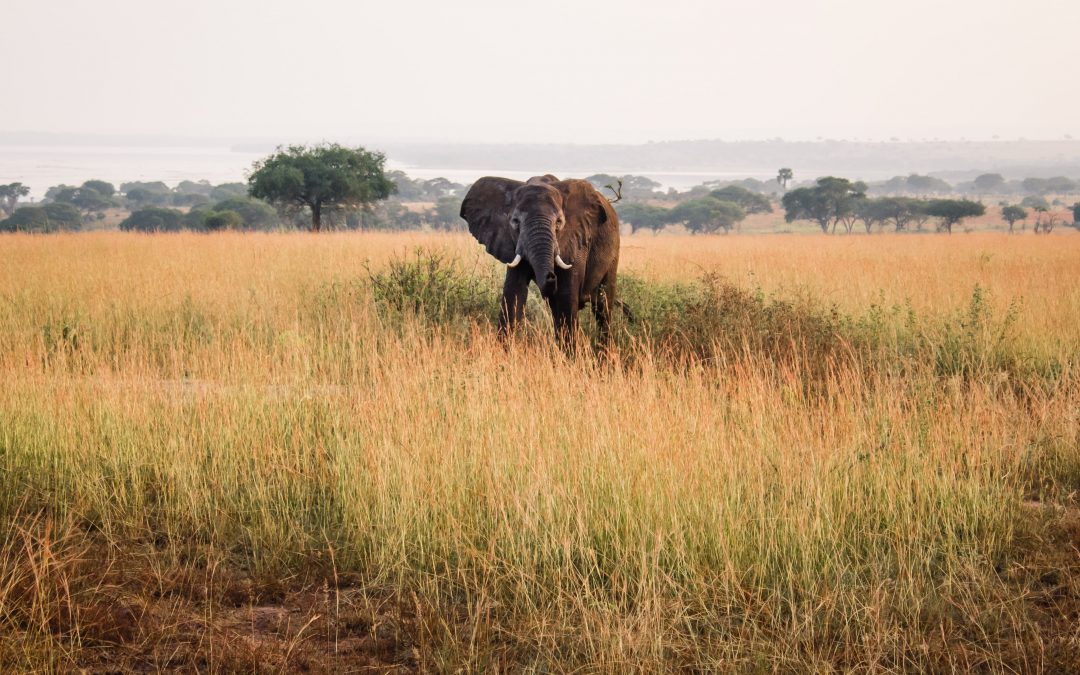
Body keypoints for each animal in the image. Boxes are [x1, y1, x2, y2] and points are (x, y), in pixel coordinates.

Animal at [460, 175, 621, 346]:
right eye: (515, 221)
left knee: (603, 307)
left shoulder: (576, 240)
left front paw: (571, 353)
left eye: (559, 222)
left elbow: (566, 295)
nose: (551, 276)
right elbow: (514, 293)